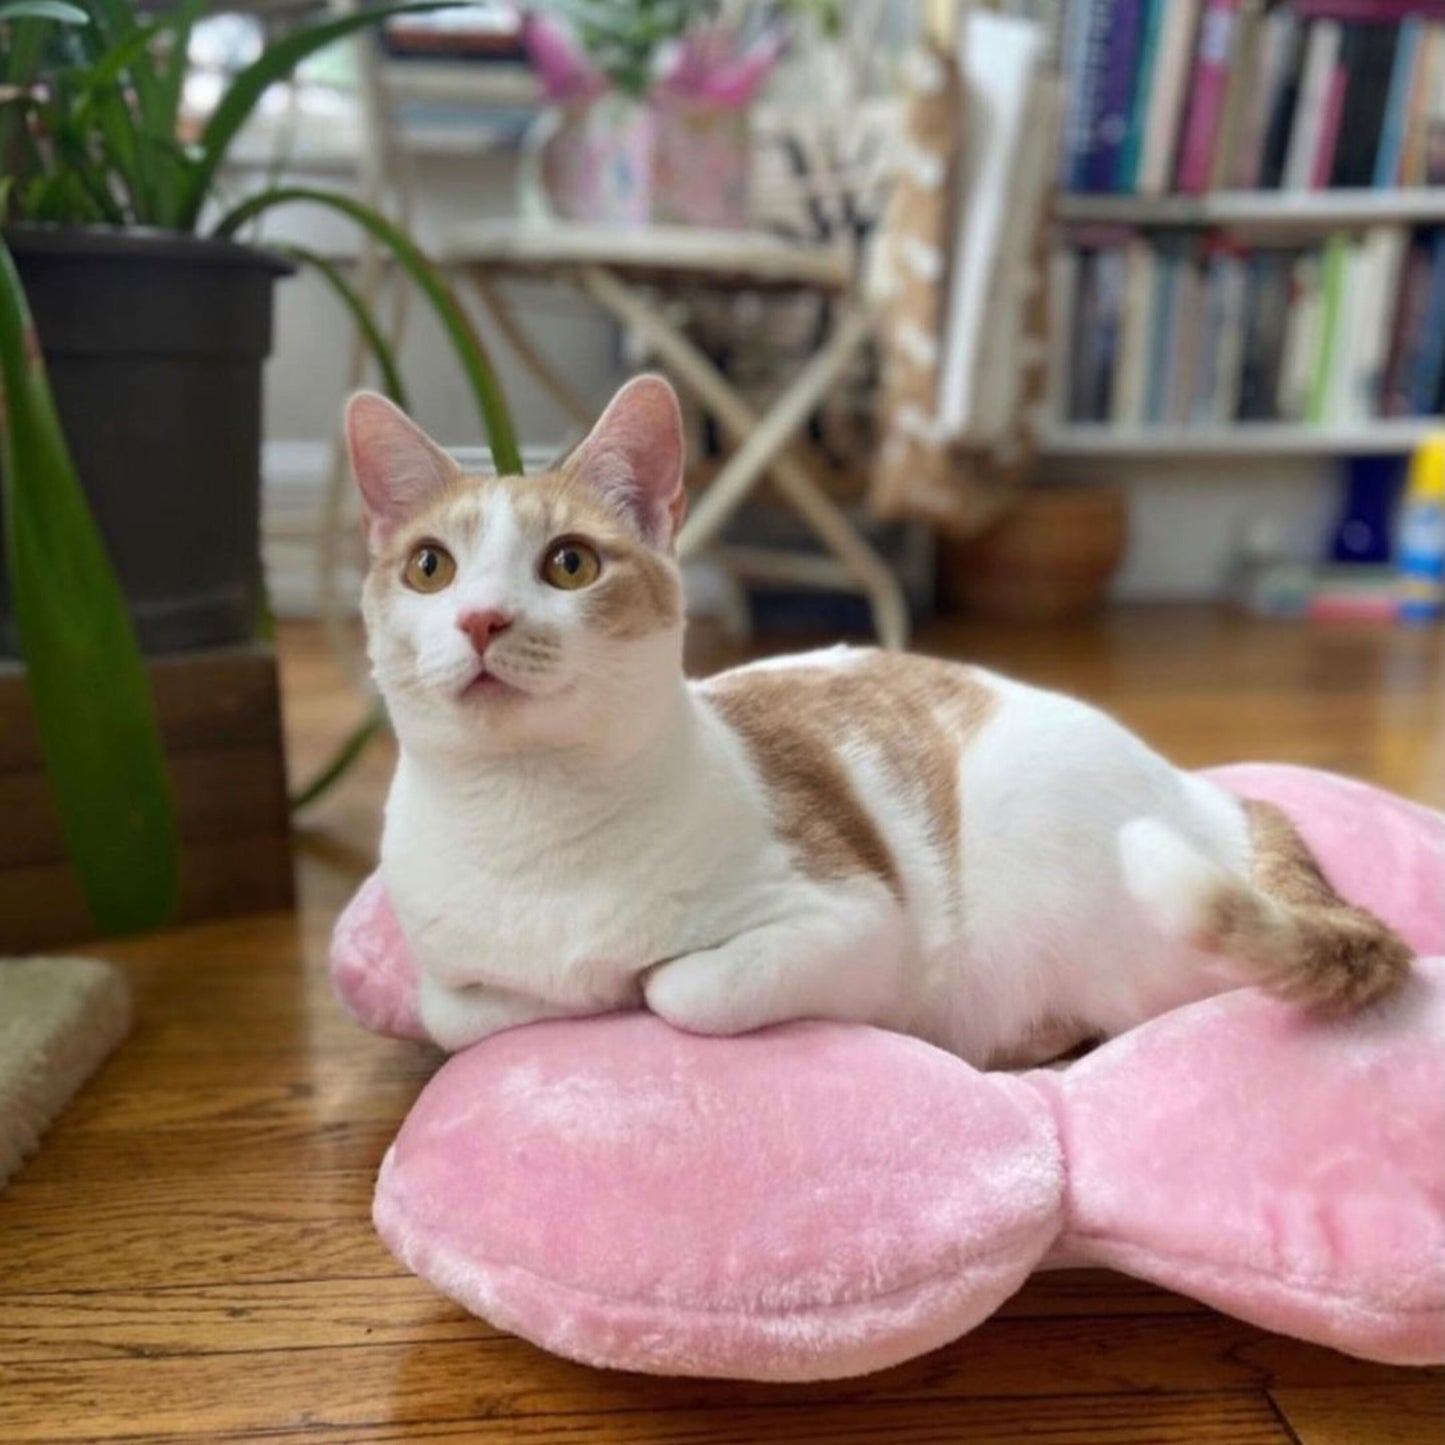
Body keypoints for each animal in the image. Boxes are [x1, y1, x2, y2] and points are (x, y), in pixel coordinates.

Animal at [343, 378, 1404, 1069]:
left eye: (569, 564)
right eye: (430, 567)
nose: (483, 620)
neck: (531, 818)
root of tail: (1209, 796)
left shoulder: (852, 919)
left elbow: (680, 991)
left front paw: (630, 987)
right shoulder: (446, 973)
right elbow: (459, 1012)